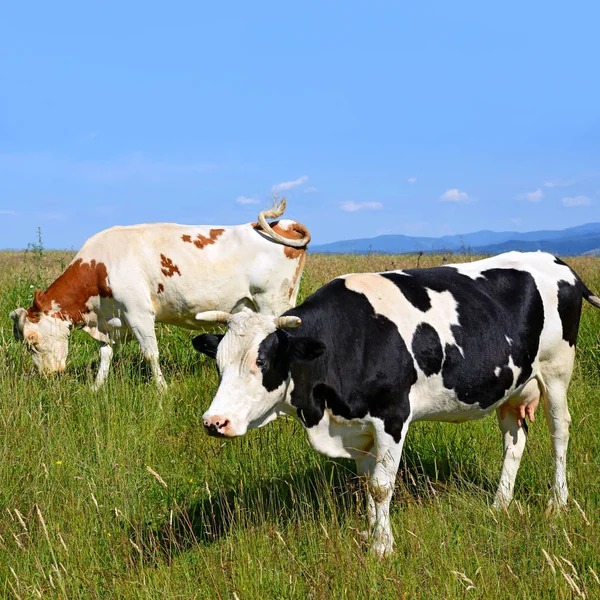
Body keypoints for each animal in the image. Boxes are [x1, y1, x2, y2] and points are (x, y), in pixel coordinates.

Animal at [10, 199, 310, 392]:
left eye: (32, 340)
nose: (48, 375)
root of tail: (282, 223)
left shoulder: (138, 312)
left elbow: (150, 354)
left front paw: (162, 388)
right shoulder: (111, 320)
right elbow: (105, 354)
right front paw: (96, 388)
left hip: (272, 302)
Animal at [192, 251, 600, 556]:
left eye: (261, 362)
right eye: (219, 362)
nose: (214, 421)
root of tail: (557, 262)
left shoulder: (392, 415)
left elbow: (381, 486)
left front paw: (381, 548)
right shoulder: (357, 428)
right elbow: (366, 483)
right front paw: (371, 533)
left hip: (557, 370)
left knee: (559, 431)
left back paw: (558, 501)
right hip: (514, 385)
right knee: (514, 442)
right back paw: (500, 504)